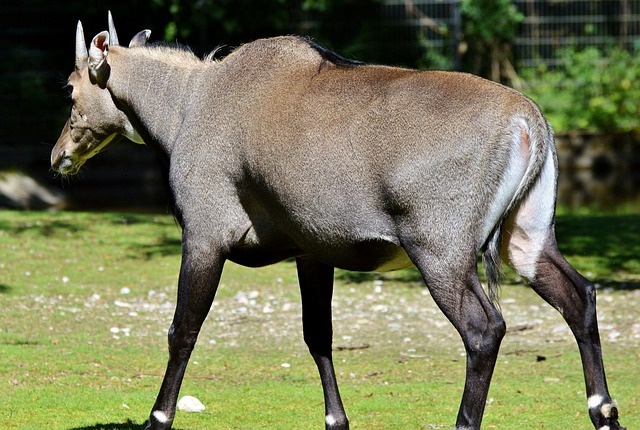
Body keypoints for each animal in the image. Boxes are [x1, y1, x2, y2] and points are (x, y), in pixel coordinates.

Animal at [51, 13, 624, 430]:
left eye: (71, 89)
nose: (60, 156)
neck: (190, 102)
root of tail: (529, 121)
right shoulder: (311, 252)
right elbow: (318, 336)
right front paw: (336, 419)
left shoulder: (205, 237)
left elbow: (182, 329)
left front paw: (158, 417)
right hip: (526, 240)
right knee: (580, 297)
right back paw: (604, 413)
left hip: (440, 254)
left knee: (485, 330)